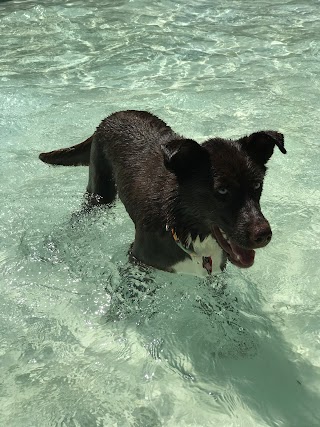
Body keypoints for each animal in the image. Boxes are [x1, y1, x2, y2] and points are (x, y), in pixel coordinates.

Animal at [38, 110, 286, 278]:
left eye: (257, 185)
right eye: (222, 190)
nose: (264, 235)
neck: (182, 223)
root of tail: (113, 115)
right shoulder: (137, 260)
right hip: (100, 194)